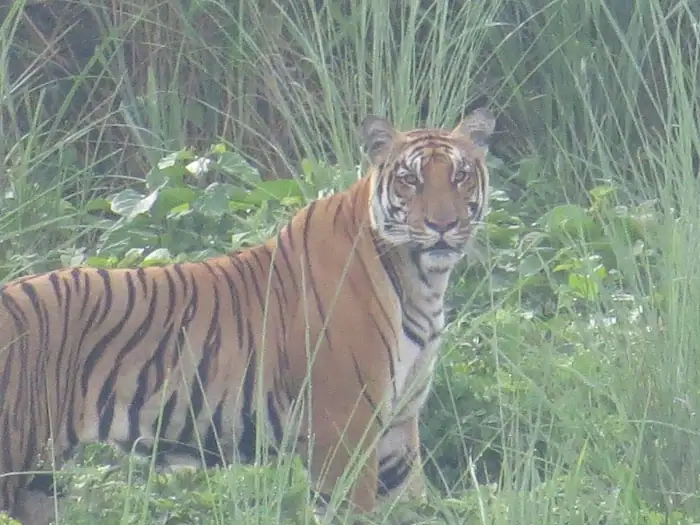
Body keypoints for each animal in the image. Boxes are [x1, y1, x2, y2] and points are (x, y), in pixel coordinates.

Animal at [0, 106, 496, 524]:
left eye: (460, 176)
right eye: (410, 179)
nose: (443, 225)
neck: (421, 281)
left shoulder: (397, 428)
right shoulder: (344, 426)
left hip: (40, 484)